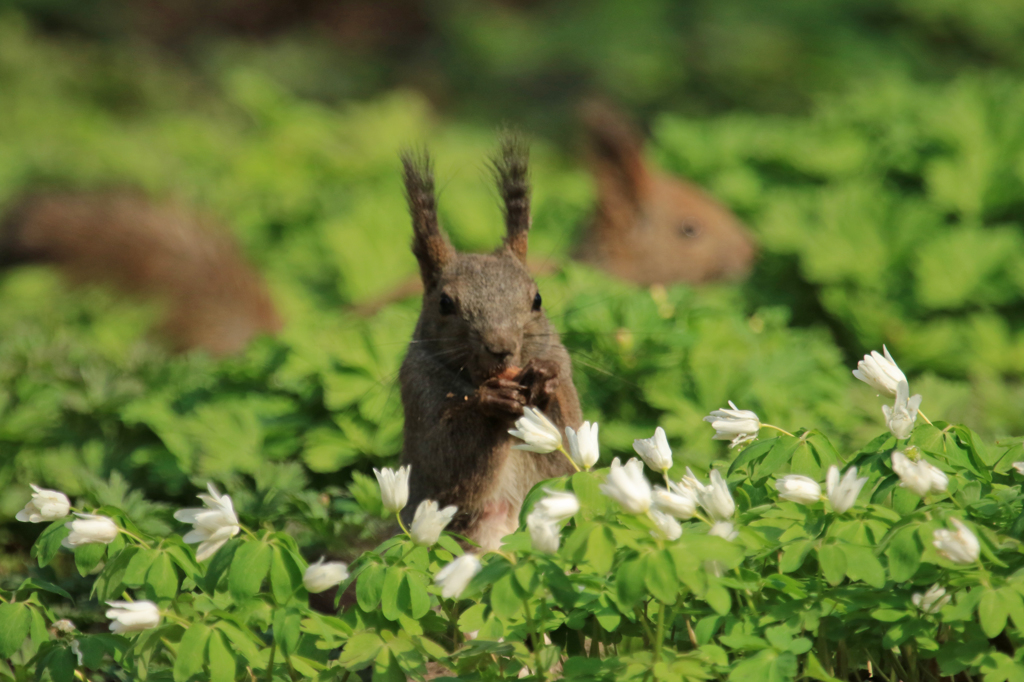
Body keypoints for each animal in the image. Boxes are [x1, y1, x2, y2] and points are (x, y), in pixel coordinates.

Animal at [395, 137, 581, 548]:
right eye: (445, 303)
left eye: (537, 299)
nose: (501, 348)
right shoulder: (418, 389)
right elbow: (447, 469)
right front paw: (492, 404)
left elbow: (564, 458)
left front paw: (544, 380)